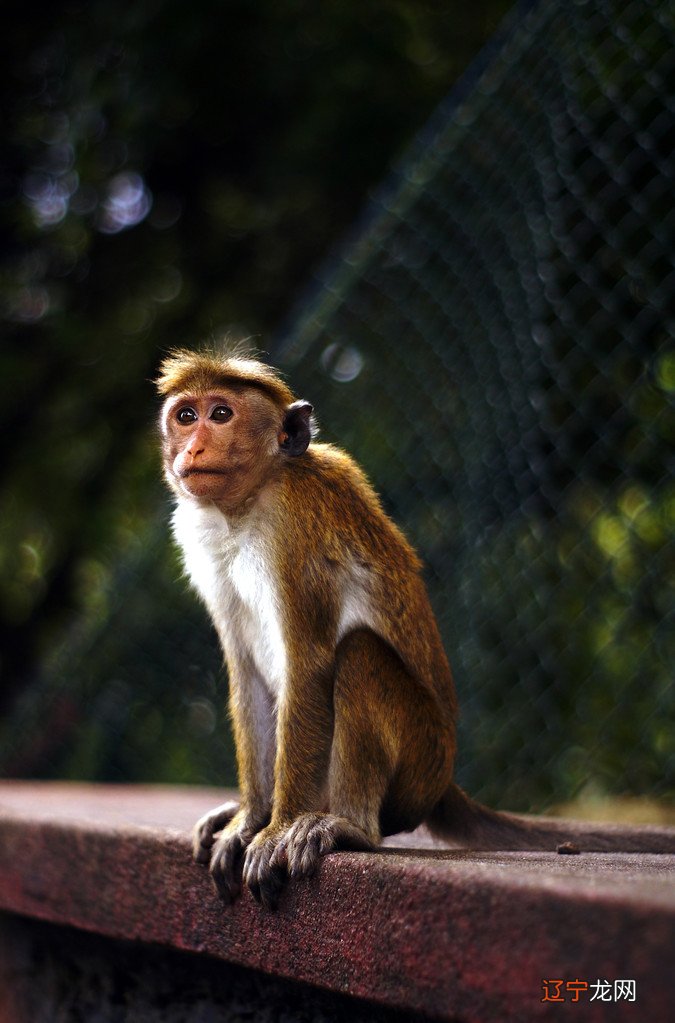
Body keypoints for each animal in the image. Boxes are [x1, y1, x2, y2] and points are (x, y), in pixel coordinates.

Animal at [155, 347, 675, 908]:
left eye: (221, 414)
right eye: (186, 416)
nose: (194, 446)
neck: (245, 507)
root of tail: (443, 782)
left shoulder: (294, 523)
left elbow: (310, 666)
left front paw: (274, 829)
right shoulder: (199, 541)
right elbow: (247, 673)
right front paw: (250, 818)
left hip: (419, 763)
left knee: (359, 655)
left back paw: (349, 828)